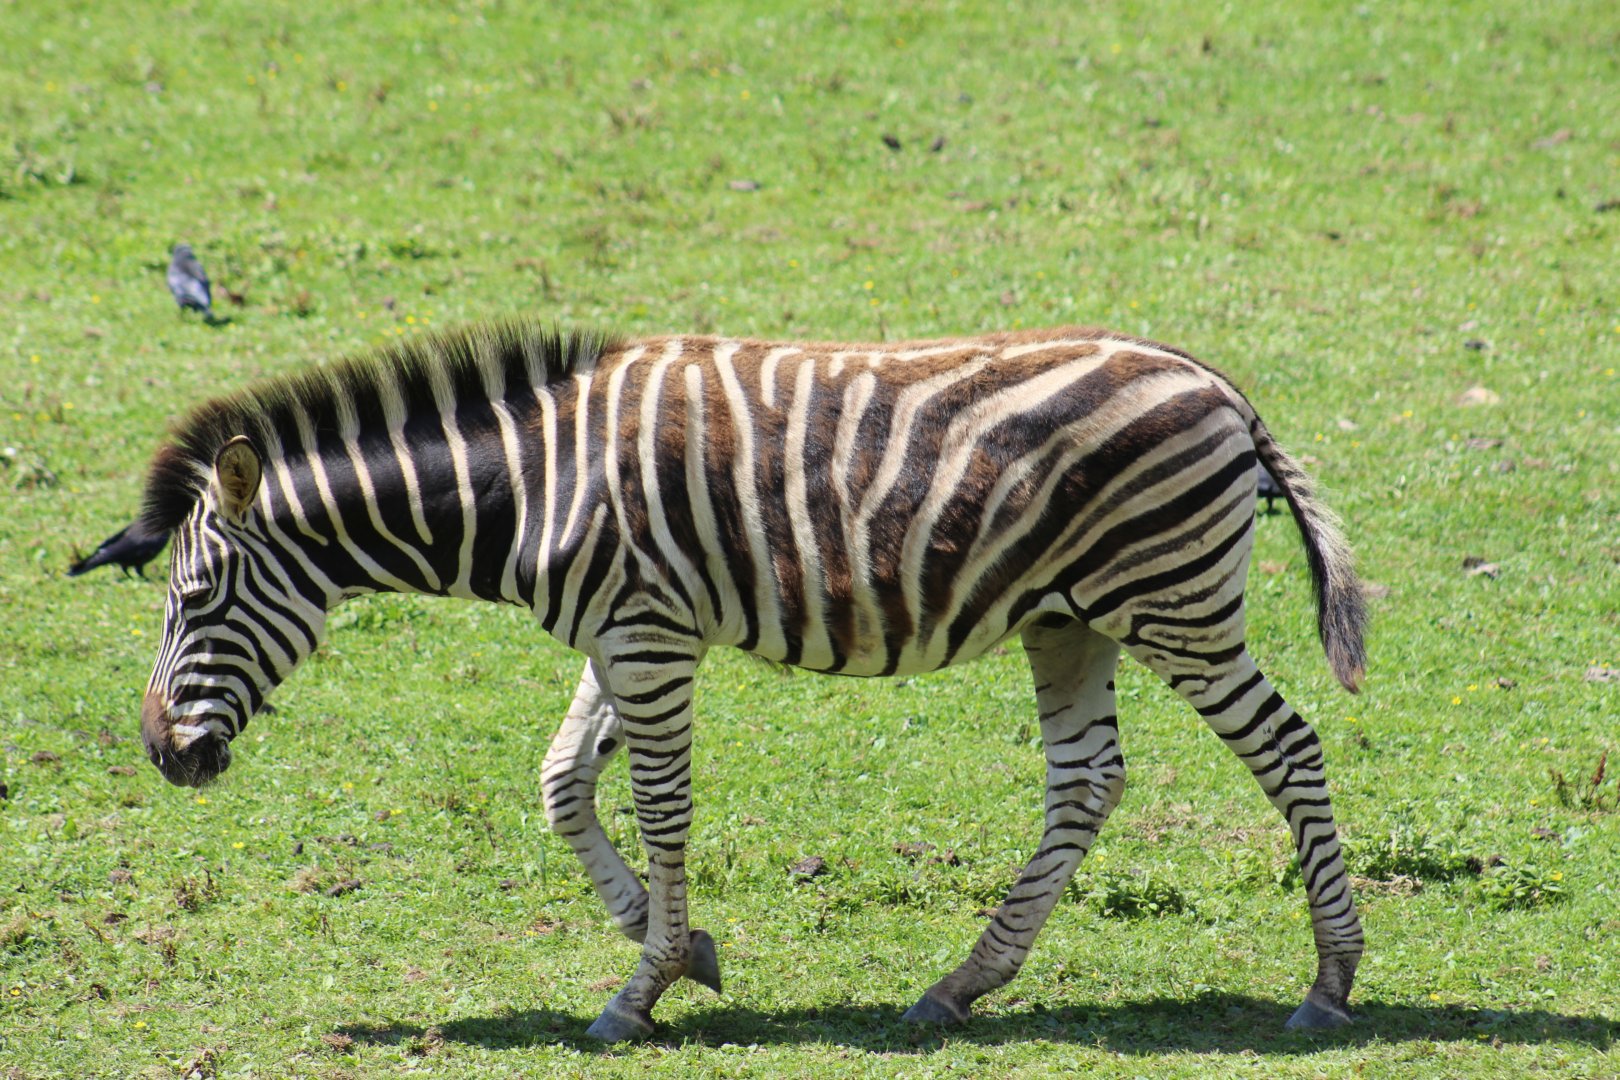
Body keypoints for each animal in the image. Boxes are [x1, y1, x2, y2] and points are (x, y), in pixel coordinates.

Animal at [134, 320, 1367, 1041]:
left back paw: (1331, 981)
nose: (161, 754)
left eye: (198, 598)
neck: (532, 483)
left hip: (1171, 604)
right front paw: (683, 949)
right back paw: (961, 984)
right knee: (1087, 780)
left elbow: (660, 807)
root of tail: (1217, 382)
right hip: (1070, 622)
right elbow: (561, 786)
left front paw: (640, 992)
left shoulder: (646, 635)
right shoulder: (624, 631)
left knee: (1289, 747)